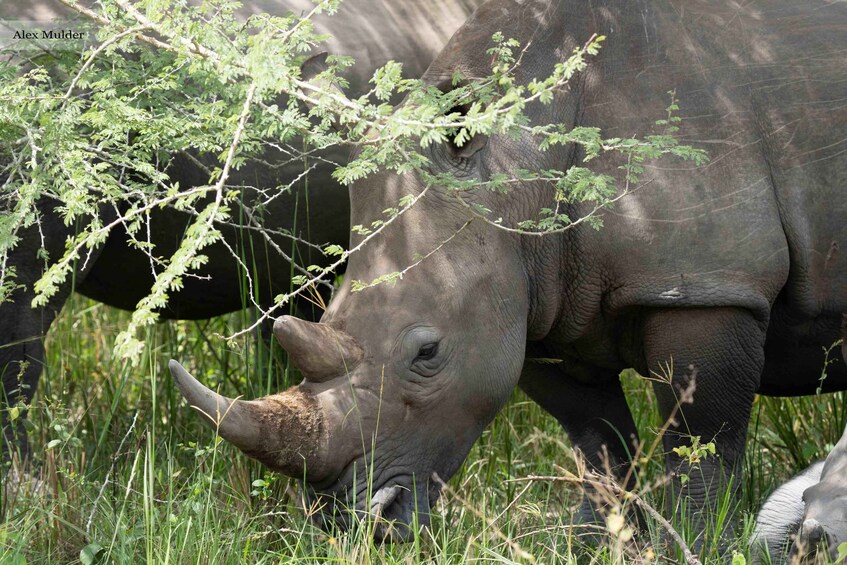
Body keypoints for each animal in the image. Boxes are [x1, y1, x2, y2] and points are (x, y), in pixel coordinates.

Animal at [169, 0, 847, 543]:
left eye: (427, 353)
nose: (347, 522)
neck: (518, 164)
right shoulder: (541, 298)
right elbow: (598, 442)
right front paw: (591, 543)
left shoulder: (705, 285)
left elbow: (700, 448)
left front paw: (697, 544)